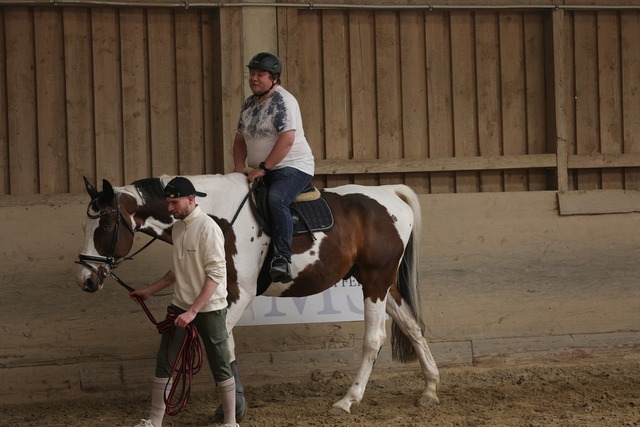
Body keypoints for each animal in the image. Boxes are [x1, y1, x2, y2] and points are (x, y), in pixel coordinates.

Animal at [75, 173, 440, 417]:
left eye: (104, 227)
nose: (86, 279)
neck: (215, 216)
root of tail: (389, 192)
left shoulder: (239, 292)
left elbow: (223, 344)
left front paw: (231, 408)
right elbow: (222, 345)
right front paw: (231, 406)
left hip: (376, 283)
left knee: (374, 339)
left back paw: (348, 400)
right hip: (383, 284)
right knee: (413, 326)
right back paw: (430, 389)